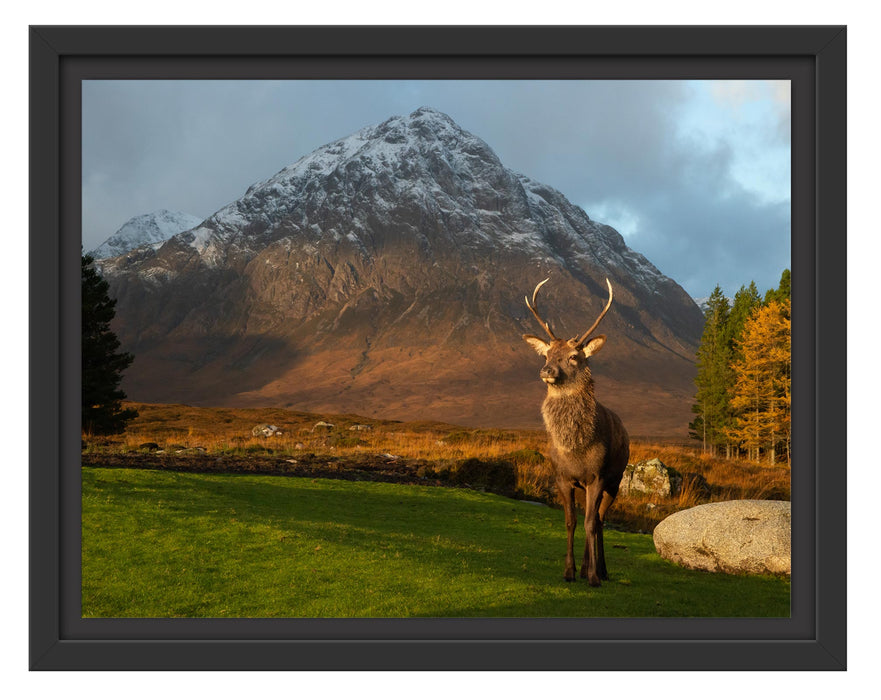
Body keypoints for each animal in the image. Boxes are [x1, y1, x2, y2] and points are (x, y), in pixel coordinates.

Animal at [524, 278, 624, 584]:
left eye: (573, 357)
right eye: (546, 354)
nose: (546, 370)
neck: (576, 448)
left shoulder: (597, 477)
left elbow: (590, 523)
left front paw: (592, 577)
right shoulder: (563, 478)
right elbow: (571, 522)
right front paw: (568, 571)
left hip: (616, 481)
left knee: (600, 520)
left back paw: (600, 570)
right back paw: (586, 567)